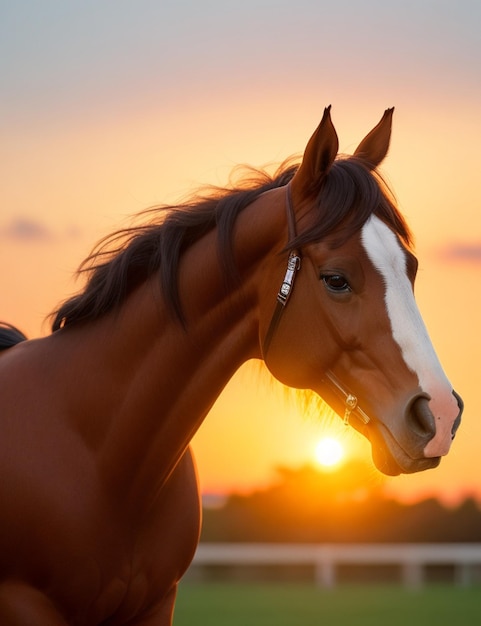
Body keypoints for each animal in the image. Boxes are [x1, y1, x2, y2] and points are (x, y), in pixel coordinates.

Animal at [0, 105, 464, 620]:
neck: (97, 450)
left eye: (412, 269)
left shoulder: (156, 604)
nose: (440, 414)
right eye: (336, 279)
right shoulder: (25, 603)